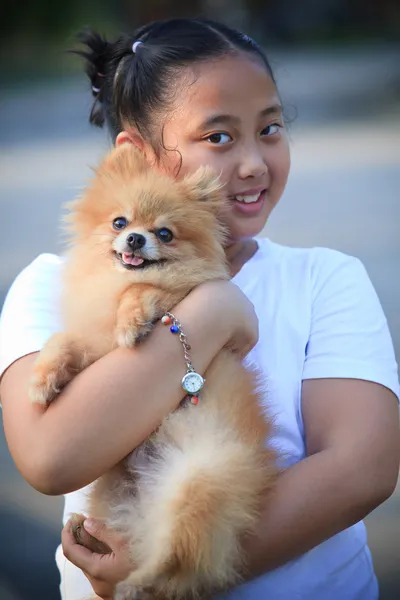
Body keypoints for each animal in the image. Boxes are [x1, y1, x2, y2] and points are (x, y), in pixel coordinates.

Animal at [29, 145, 276, 600]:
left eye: (164, 233)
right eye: (119, 222)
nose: (135, 238)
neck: (109, 286)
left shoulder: (173, 294)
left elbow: (143, 289)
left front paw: (131, 323)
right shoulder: (92, 345)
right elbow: (62, 340)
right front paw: (43, 380)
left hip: (198, 481)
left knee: (178, 556)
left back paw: (137, 581)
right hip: (109, 496)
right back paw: (90, 537)